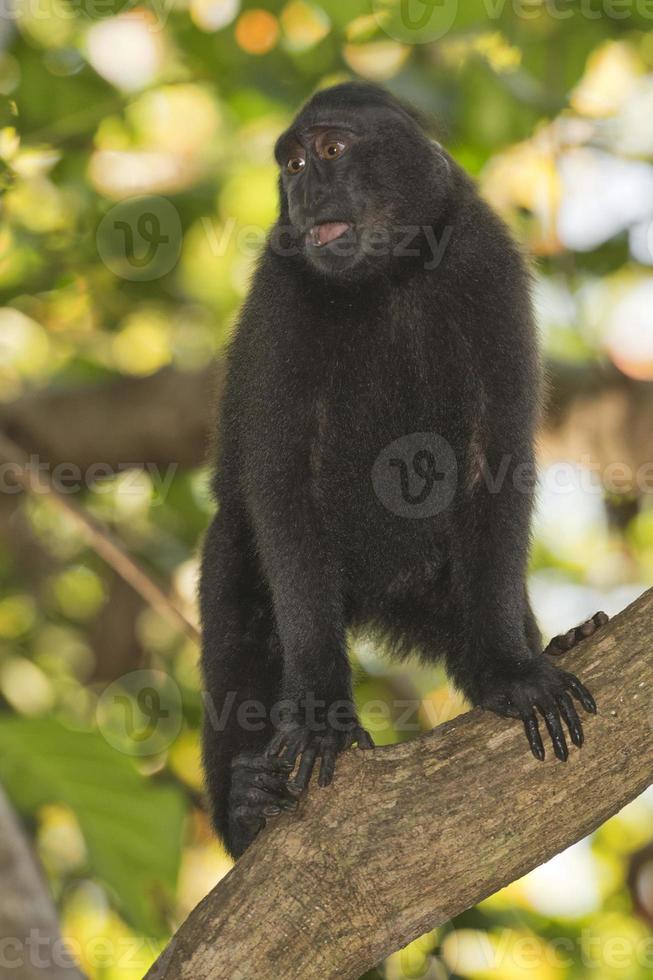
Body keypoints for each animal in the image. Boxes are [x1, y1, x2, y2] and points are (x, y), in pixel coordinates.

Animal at [199, 82, 608, 856]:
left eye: (331, 150)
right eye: (292, 163)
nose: (304, 190)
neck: (389, 276)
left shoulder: (486, 263)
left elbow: (495, 461)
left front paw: (507, 670)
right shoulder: (283, 293)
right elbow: (280, 482)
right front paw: (321, 712)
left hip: (434, 585)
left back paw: (555, 641)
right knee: (241, 607)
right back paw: (244, 807)